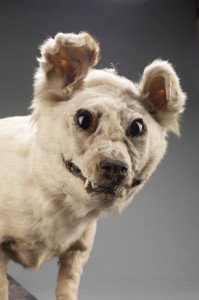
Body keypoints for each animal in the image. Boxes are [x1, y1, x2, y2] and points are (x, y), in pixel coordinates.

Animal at [0, 31, 186, 298]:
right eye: (83, 119)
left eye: (137, 127)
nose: (115, 166)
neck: (58, 206)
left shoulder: (78, 251)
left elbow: (67, 290)